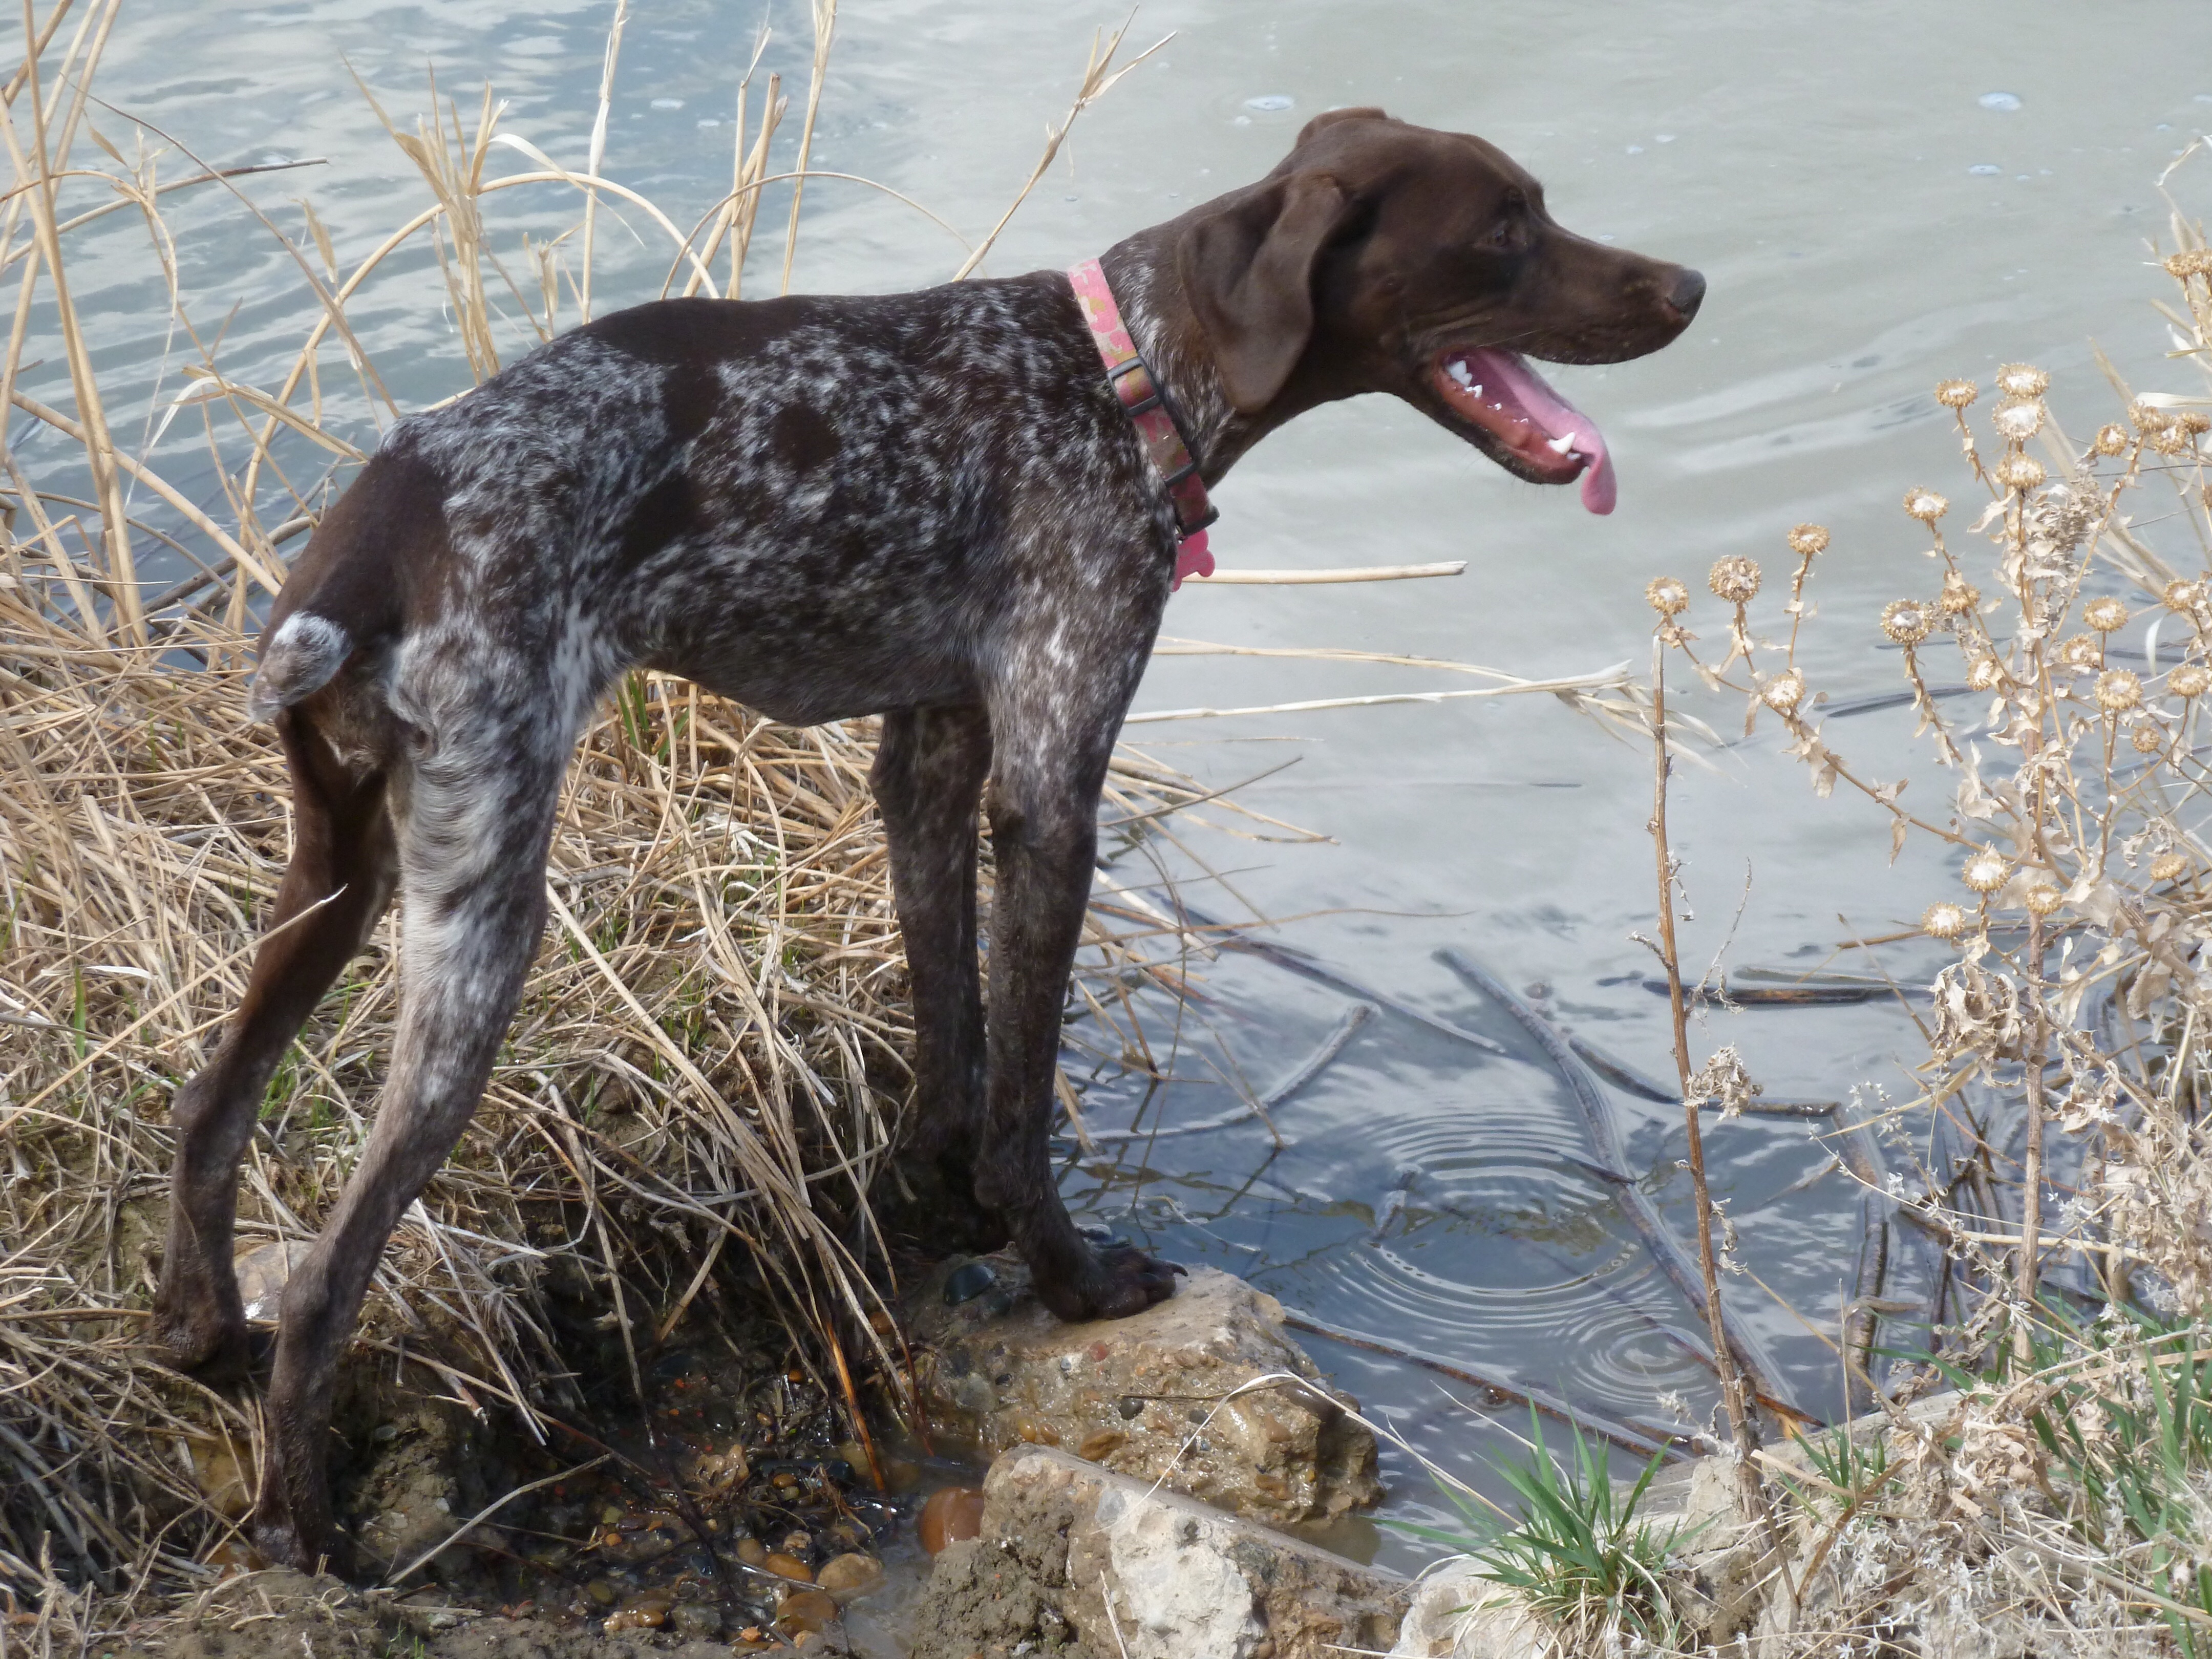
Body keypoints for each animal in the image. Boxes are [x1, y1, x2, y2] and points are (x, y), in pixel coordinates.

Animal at [156, 107, 1698, 1575]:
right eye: (1506, 225)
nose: (1686, 285)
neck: (1119, 373)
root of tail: (379, 529)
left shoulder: (930, 756)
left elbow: (951, 1027)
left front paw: (942, 1204)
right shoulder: (1053, 791)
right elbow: (1022, 1092)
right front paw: (1069, 1277)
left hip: (336, 875)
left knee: (209, 1108)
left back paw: (199, 1334)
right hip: (483, 913)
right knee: (329, 1275)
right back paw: (307, 1532)